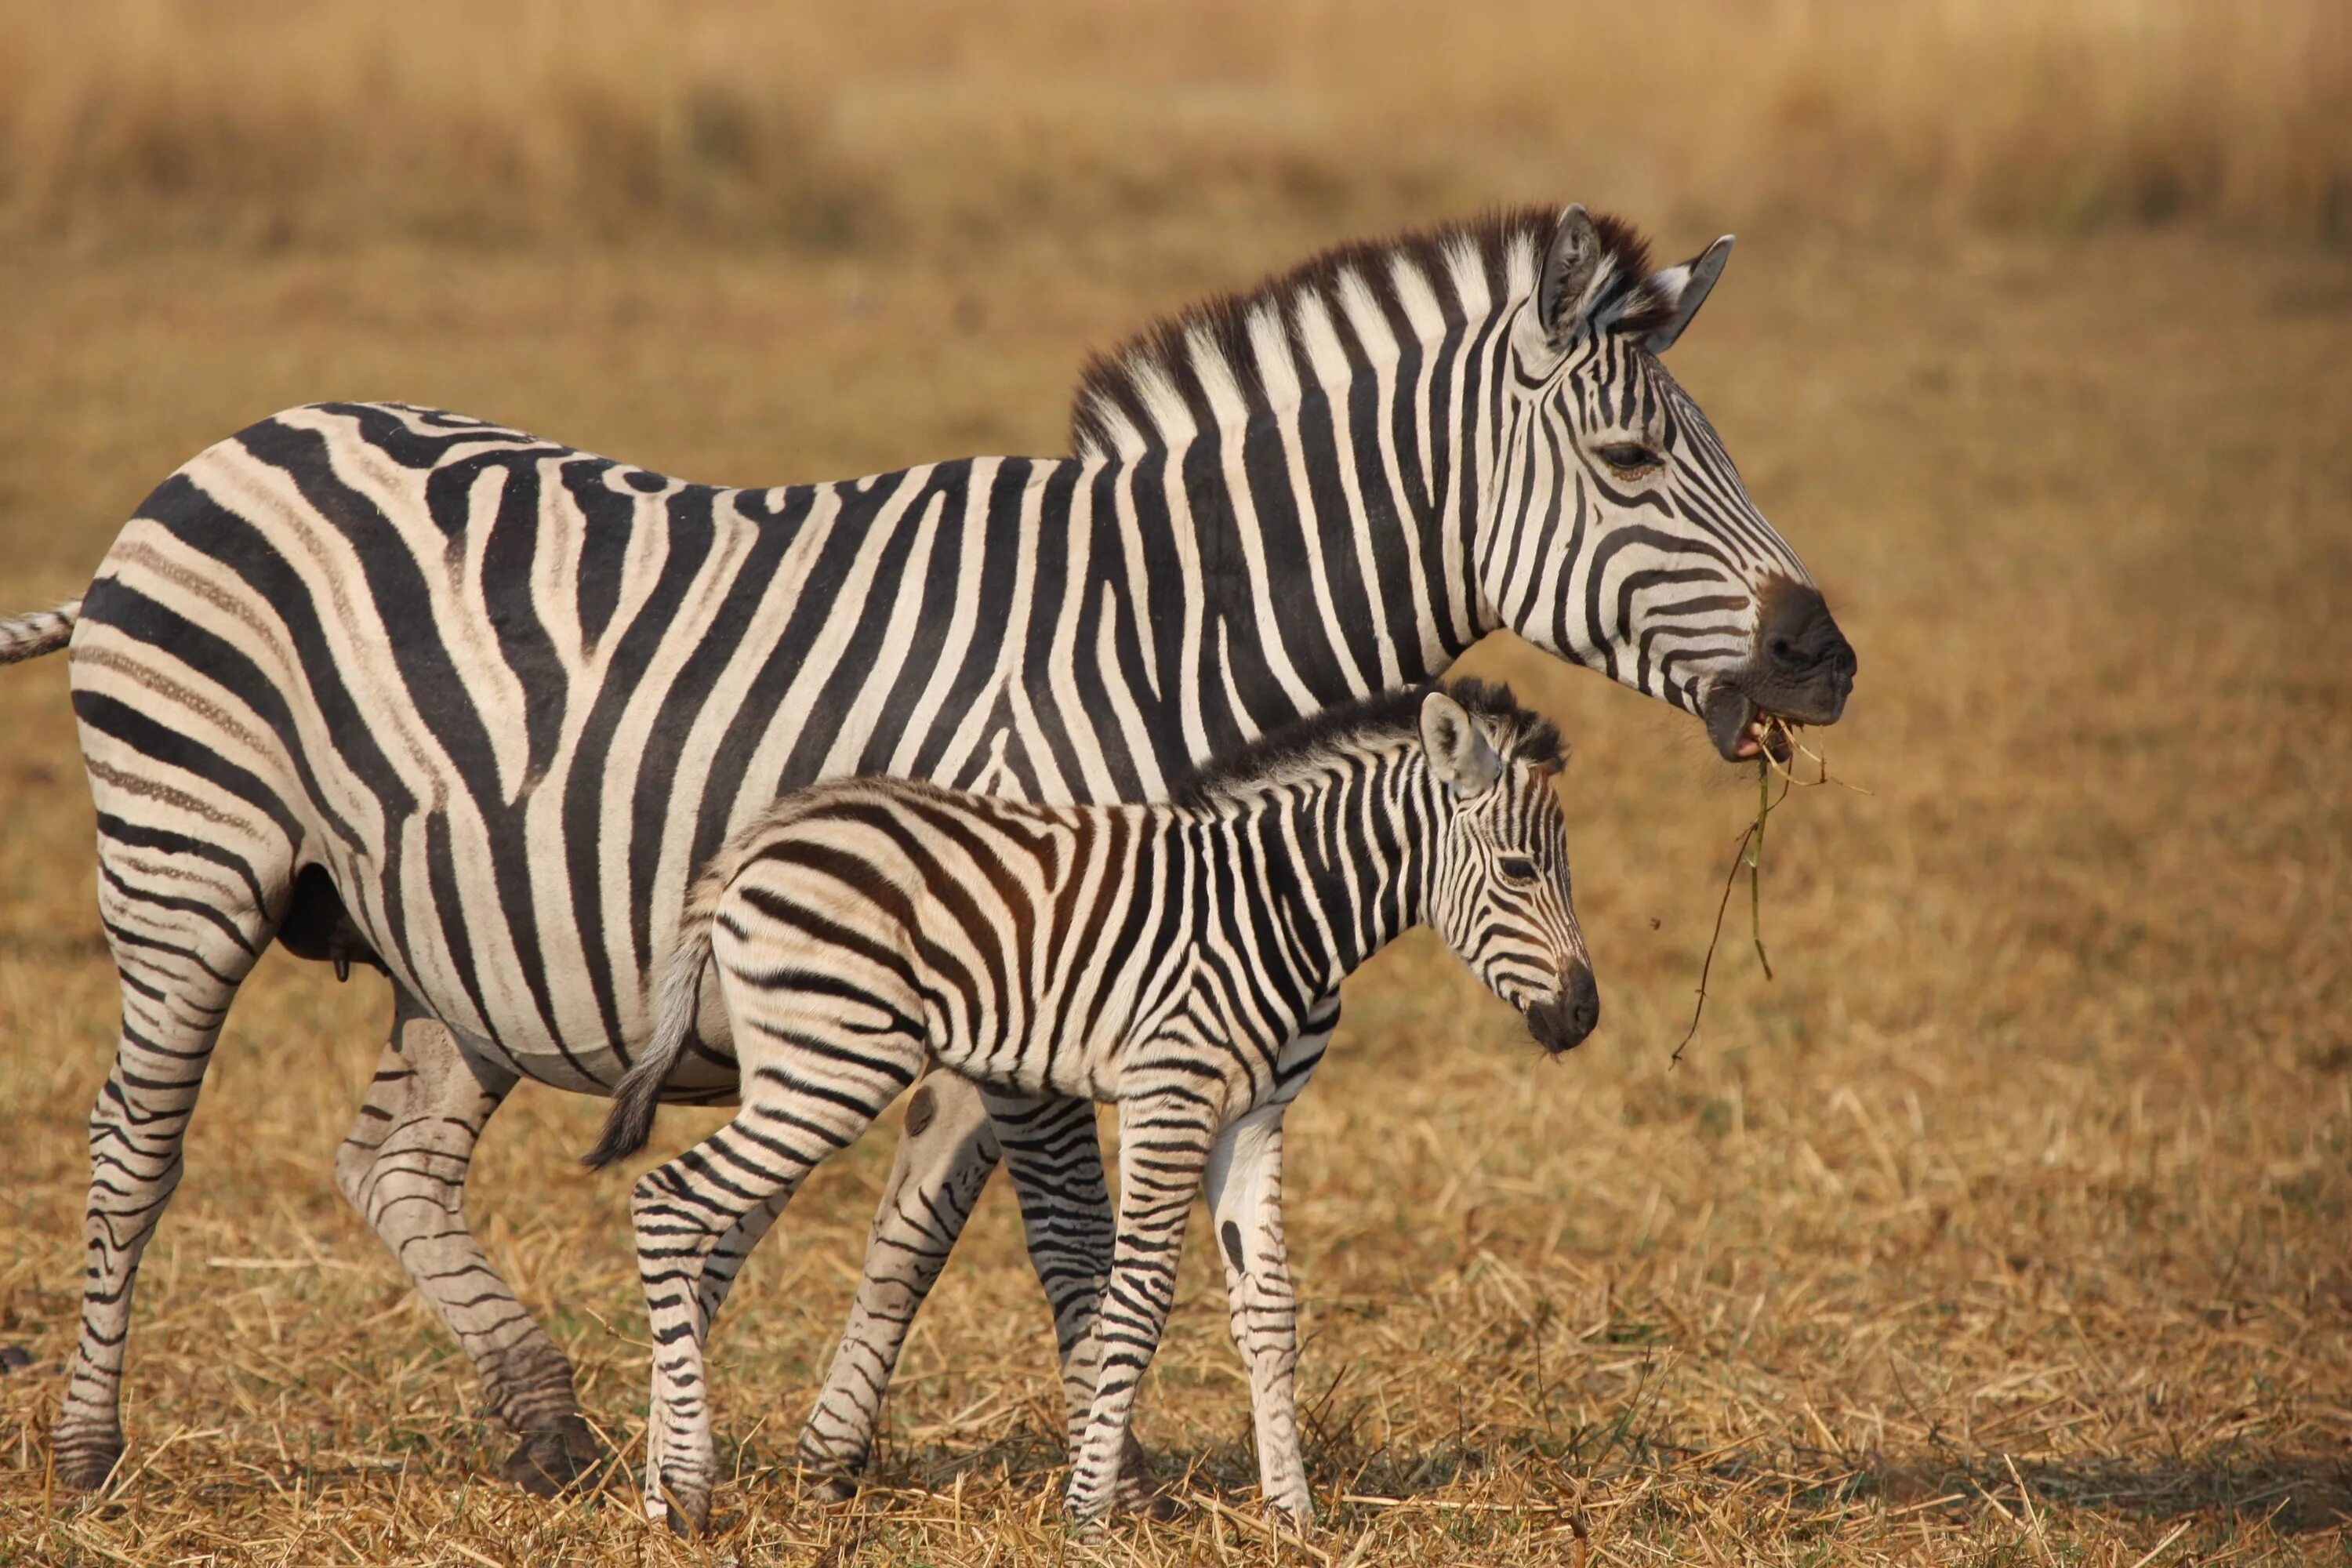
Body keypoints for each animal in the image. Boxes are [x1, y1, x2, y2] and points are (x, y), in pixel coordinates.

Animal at [4, 205, 1853, 1495]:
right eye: (1632, 459)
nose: (1826, 657)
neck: (1156, 632)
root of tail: (223, 452)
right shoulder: (1050, 938)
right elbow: (1072, 1233)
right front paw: (1110, 1468)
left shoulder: (1012, 968)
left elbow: (920, 1218)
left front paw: (833, 1454)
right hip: (190, 866)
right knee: (136, 1146)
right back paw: (92, 1451)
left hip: (449, 943)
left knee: (388, 1163)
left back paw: (549, 1425)